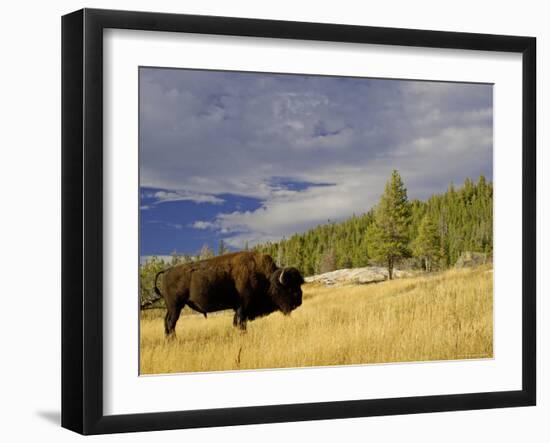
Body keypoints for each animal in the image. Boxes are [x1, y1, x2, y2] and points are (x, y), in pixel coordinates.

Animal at [154, 253, 306, 336]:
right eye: (289, 287)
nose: (299, 302)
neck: (266, 279)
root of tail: (167, 271)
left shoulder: (238, 309)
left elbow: (236, 323)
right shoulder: (243, 307)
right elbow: (241, 324)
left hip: (171, 308)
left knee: (167, 323)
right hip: (176, 307)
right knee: (171, 324)